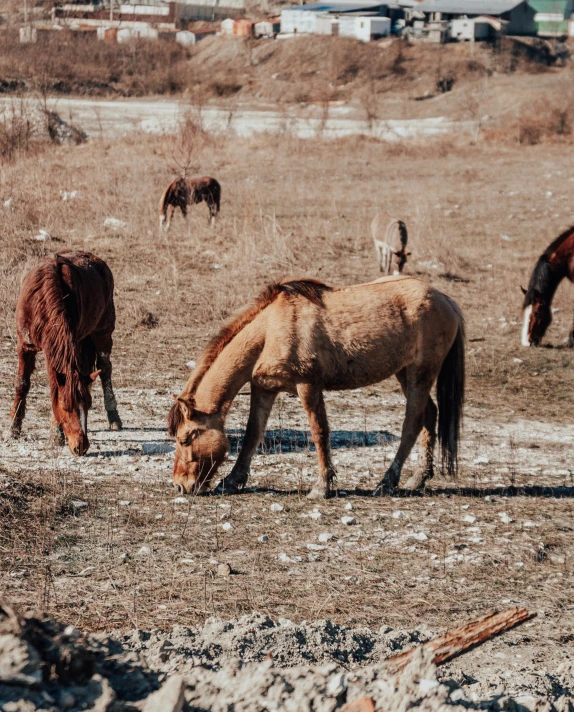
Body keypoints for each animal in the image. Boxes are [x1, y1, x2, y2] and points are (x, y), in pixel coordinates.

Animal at [10, 250, 122, 456]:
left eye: (87, 405)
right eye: (65, 406)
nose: (81, 446)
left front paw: (56, 434)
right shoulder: (24, 345)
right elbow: (21, 384)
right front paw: (13, 428)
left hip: (102, 331)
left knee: (105, 368)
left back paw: (114, 417)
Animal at [169, 276, 466, 498]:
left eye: (185, 439)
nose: (180, 485)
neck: (269, 330)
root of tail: (446, 300)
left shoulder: (308, 385)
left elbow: (319, 432)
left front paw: (322, 487)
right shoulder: (264, 388)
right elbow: (253, 433)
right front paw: (231, 481)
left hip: (420, 373)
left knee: (412, 424)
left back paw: (387, 482)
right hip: (405, 374)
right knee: (429, 414)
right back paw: (418, 479)